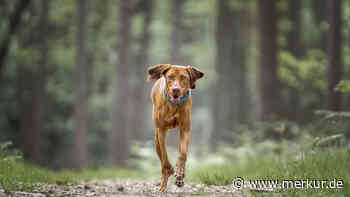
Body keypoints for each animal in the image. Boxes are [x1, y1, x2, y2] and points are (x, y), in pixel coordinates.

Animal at [146, 63, 204, 192]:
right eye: (170, 77)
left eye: (183, 77)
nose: (175, 89)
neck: (174, 105)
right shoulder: (161, 131)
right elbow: (165, 157)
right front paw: (171, 170)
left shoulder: (185, 129)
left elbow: (182, 154)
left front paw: (180, 173)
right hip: (156, 139)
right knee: (162, 159)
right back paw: (163, 184)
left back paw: (179, 178)